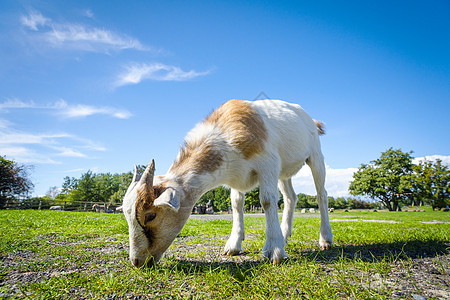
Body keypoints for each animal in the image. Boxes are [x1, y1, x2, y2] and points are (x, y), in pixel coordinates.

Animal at [121, 100, 332, 268]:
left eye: (151, 216)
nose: (137, 261)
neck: (225, 134)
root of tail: (311, 120)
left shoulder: (268, 164)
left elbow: (267, 201)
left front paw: (274, 250)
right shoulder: (237, 178)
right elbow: (236, 204)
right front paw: (233, 245)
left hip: (316, 156)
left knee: (321, 194)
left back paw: (325, 240)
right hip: (284, 173)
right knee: (290, 197)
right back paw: (285, 234)